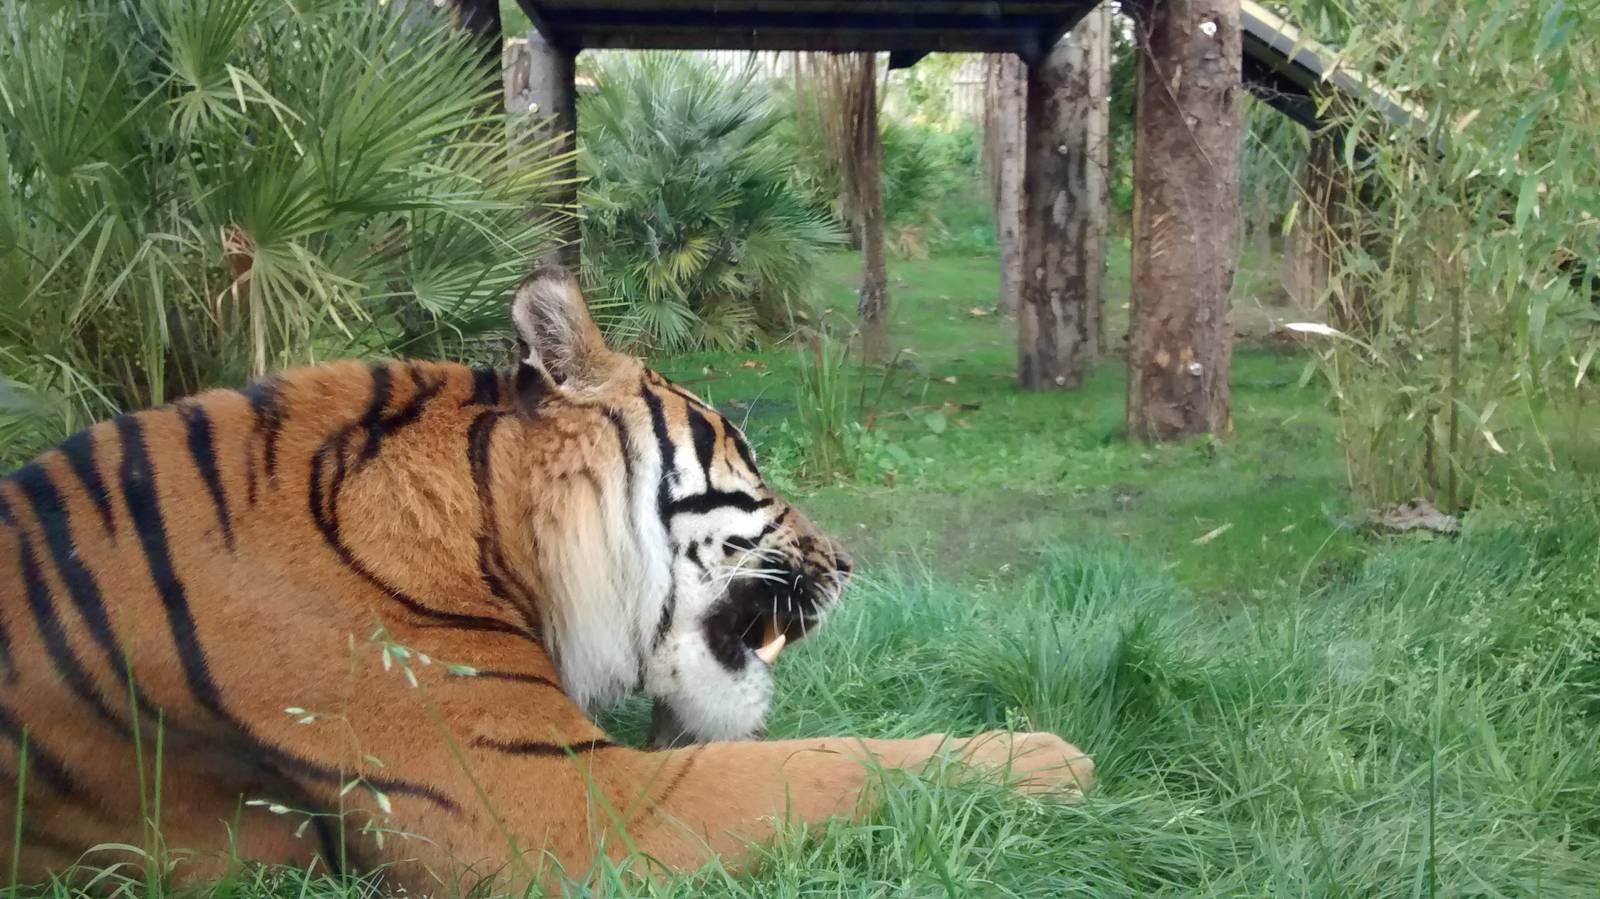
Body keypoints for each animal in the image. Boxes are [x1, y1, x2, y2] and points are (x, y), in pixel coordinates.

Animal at [0, 266, 1094, 892]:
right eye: (750, 458)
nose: (848, 562)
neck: (488, 527)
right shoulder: (556, 804)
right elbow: (827, 762)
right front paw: (1047, 756)